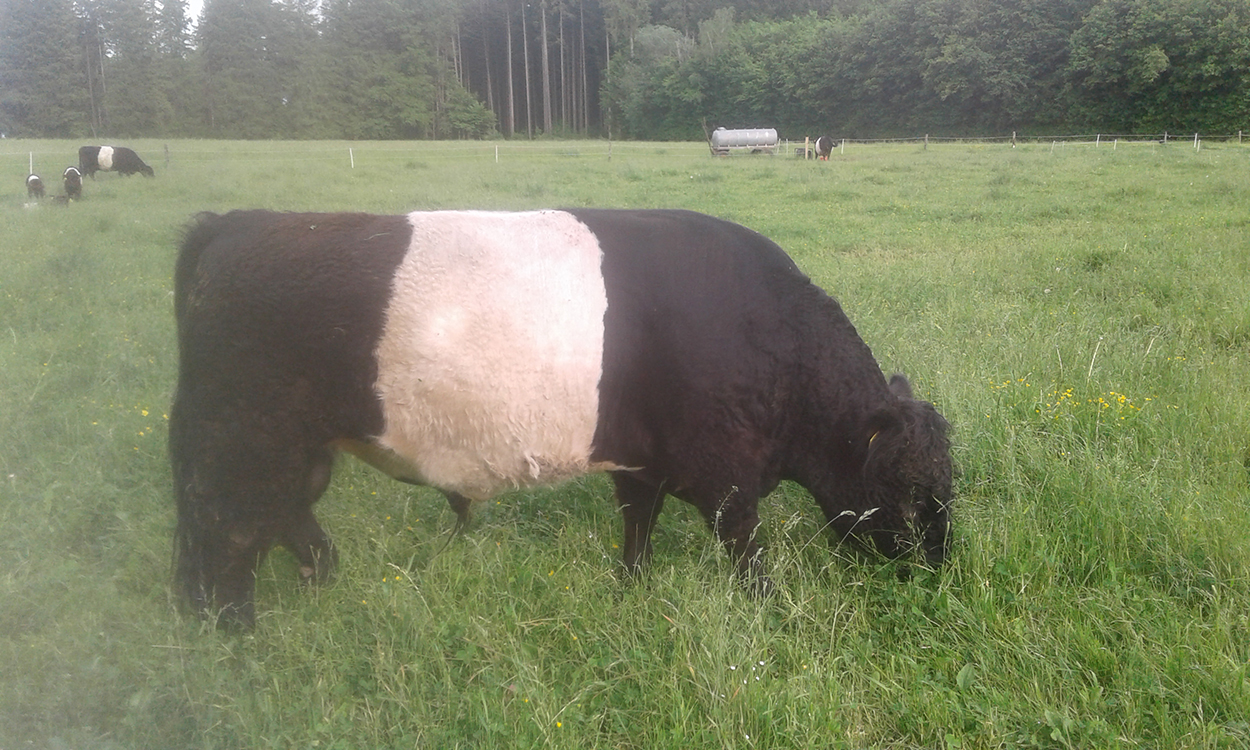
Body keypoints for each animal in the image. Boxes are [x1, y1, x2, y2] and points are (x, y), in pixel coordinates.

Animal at [171, 205, 950, 627]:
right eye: (914, 493)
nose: (939, 576)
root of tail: (235, 223)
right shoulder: (726, 478)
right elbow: (746, 553)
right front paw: (770, 612)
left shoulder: (644, 464)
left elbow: (637, 532)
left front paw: (630, 595)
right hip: (241, 441)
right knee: (227, 535)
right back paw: (234, 635)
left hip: (298, 451)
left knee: (288, 520)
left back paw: (321, 588)